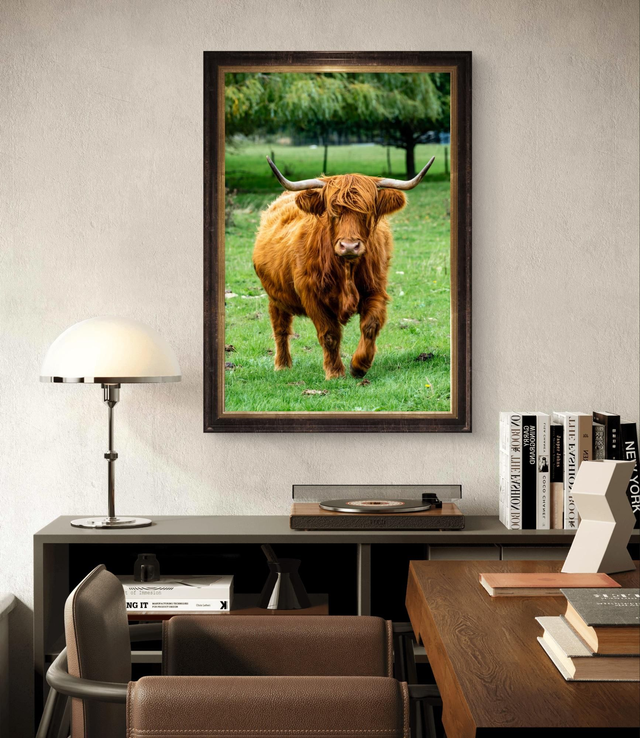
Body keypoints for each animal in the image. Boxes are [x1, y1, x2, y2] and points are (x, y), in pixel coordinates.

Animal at [252, 156, 435, 380]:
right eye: (333, 213)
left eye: (366, 212)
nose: (349, 246)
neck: (346, 268)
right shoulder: (312, 296)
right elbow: (329, 334)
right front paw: (335, 372)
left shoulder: (376, 288)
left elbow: (370, 325)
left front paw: (359, 365)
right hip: (275, 296)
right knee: (281, 328)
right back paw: (282, 365)